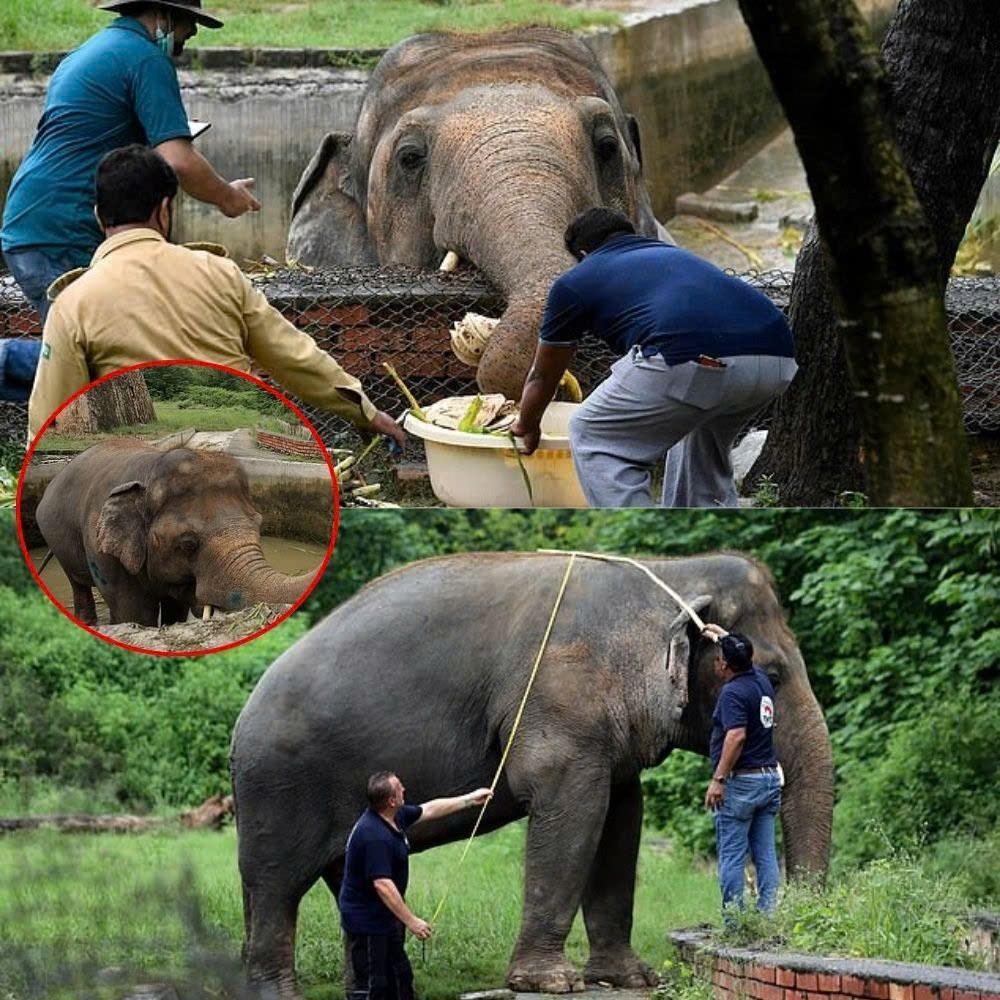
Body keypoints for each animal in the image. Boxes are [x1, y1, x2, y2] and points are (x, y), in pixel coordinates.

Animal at [34, 440, 316, 627]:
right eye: (188, 543)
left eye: (258, 524)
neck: (150, 470)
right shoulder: (102, 550)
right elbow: (134, 614)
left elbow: (176, 611)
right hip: (56, 535)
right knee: (78, 584)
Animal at [230, 550, 834, 997]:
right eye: (773, 673)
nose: (793, 920)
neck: (667, 572)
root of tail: (241, 721)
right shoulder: (558, 702)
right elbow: (574, 814)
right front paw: (552, 984)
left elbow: (620, 823)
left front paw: (630, 978)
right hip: (279, 789)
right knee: (276, 886)